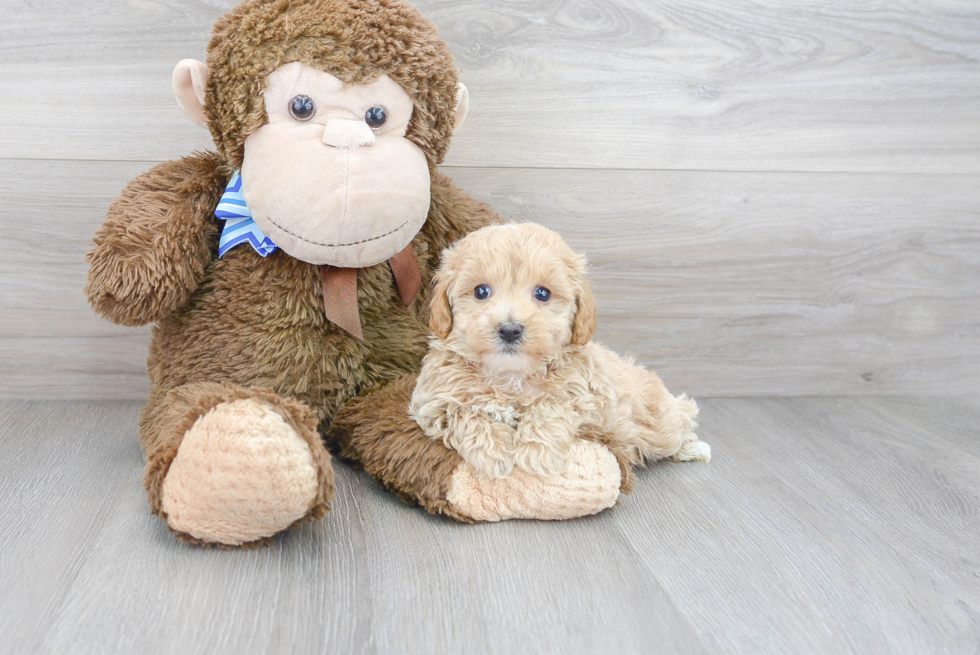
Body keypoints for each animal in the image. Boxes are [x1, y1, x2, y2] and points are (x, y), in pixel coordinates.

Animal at [410, 223, 708, 480]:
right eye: (481, 291)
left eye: (542, 293)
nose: (509, 329)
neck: (510, 376)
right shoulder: (432, 403)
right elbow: (463, 413)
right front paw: (493, 454)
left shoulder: (584, 395)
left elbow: (550, 405)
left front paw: (535, 454)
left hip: (658, 421)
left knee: (679, 421)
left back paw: (694, 448)